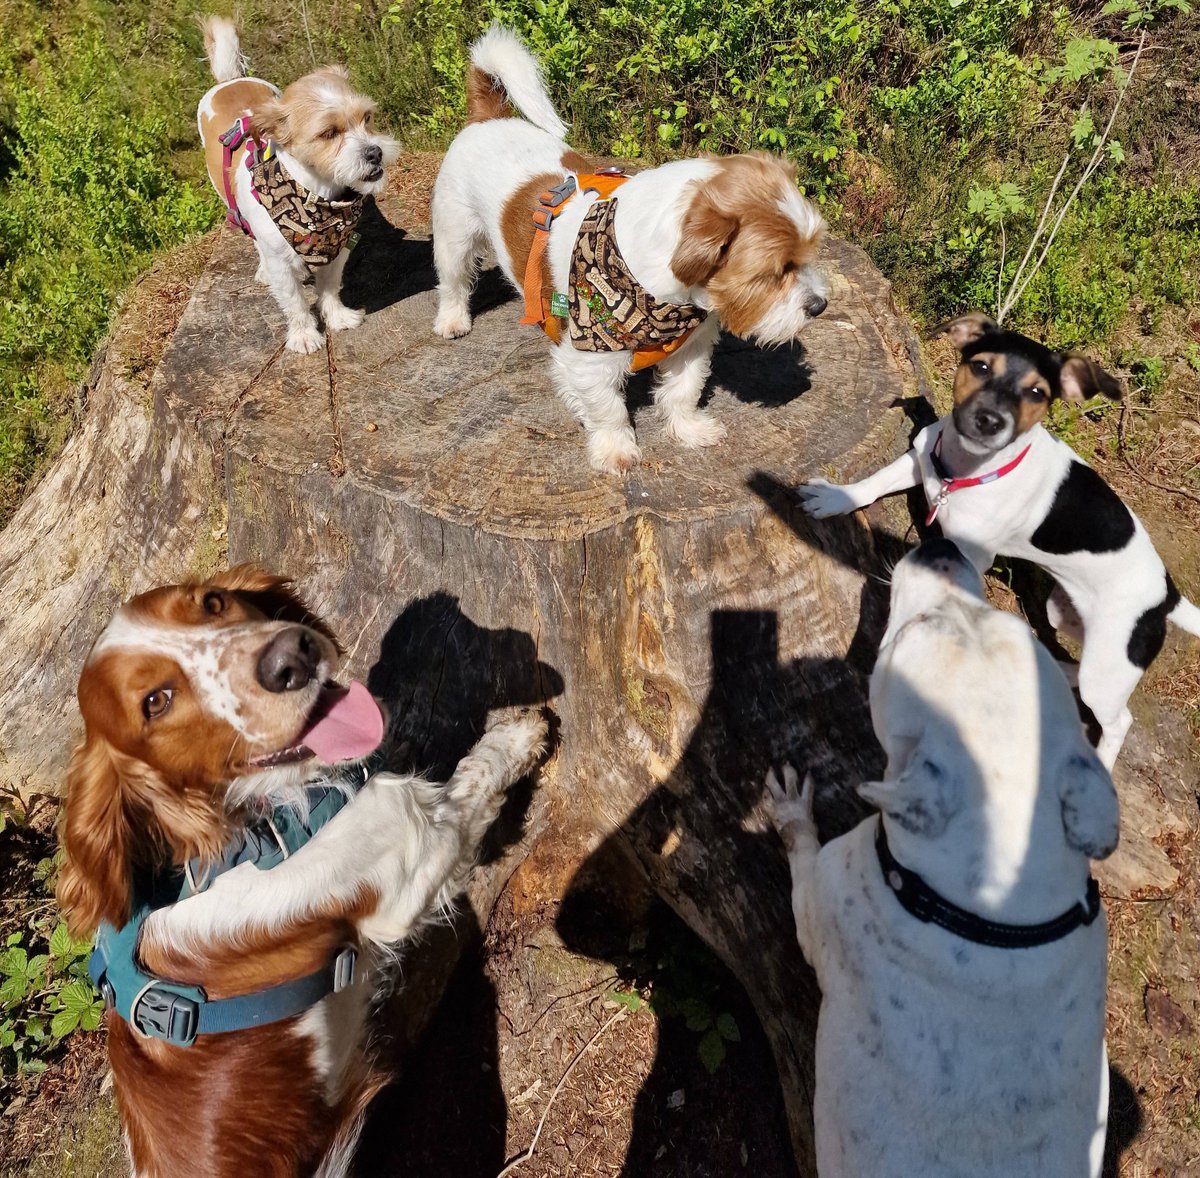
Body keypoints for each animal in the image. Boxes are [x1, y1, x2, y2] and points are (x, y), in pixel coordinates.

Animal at [429, 28, 825, 470]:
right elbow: (608, 409)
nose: (820, 305)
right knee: (454, 281)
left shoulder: (690, 346)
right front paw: (615, 447)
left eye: (807, 253)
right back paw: (452, 319)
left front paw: (688, 428)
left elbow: (683, 391)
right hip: (454, 236)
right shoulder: (588, 358)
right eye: (774, 271)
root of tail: (489, 117)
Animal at [768, 542, 1113, 1178]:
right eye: (1000, 617)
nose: (941, 547)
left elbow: (801, 848)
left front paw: (790, 809)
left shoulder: (818, 897)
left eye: (912, 630)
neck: (994, 916)